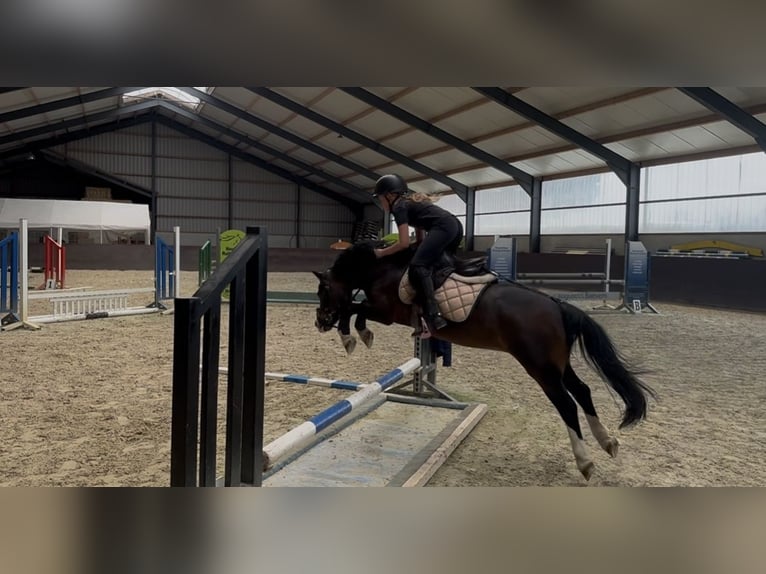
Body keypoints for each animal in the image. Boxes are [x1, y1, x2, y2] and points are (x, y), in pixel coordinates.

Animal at [313, 240, 656, 481]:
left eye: (323, 290)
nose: (320, 322)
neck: (383, 270)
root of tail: (558, 305)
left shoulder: (386, 312)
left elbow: (355, 309)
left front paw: (353, 336)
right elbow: (356, 308)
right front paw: (354, 335)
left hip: (540, 367)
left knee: (567, 404)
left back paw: (585, 462)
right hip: (557, 364)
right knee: (582, 391)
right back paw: (607, 442)